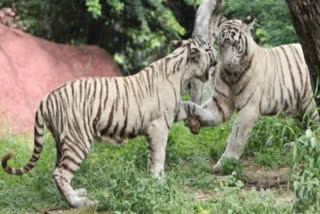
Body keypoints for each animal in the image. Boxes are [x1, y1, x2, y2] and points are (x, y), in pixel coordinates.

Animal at [1, 38, 218, 207]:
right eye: (209, 49)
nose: (217, 54)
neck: (182, 72)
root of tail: (47, 97)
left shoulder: (172, 111)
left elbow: (190, 105)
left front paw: (201, 122)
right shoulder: (159, 125)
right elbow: (159, 156)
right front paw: (159, 180)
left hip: (61, 141)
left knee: (57, 171)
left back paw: (76, 194)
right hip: (78, 140)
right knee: (60, 173)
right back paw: (79, 203)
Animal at [181, 15, 318, 174]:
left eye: (235, 44)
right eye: (221, 45)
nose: (227, 64)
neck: (232, 75)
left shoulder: (249, 108)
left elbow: (236, 137)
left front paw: (225, 163)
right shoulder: (221, 102)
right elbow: (205, 110)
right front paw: (190, 118)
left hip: (311, 104)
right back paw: (291, 145)